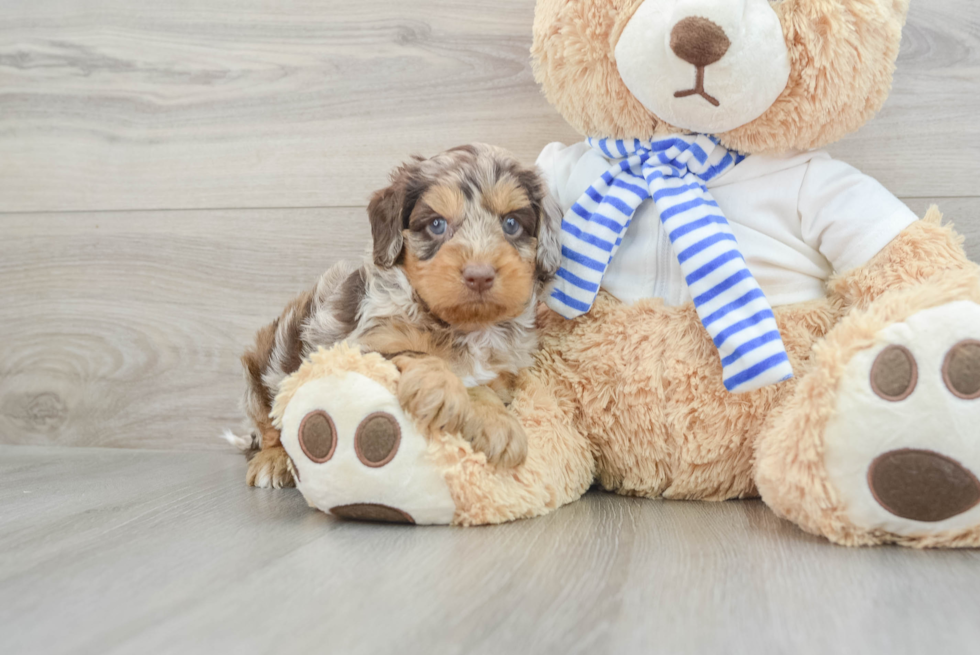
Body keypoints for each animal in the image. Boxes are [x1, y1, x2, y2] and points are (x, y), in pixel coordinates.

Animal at [233, 145, 564, 492]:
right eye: (436, 225)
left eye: (511, 224)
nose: (479, 275)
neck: (463, 326)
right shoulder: (356, 349)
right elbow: (422, 356)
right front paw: (447, 391)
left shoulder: (505, 374)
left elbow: (489, 386)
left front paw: (497, 418)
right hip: (264, 368)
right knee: (270, 424)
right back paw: (272, 460)